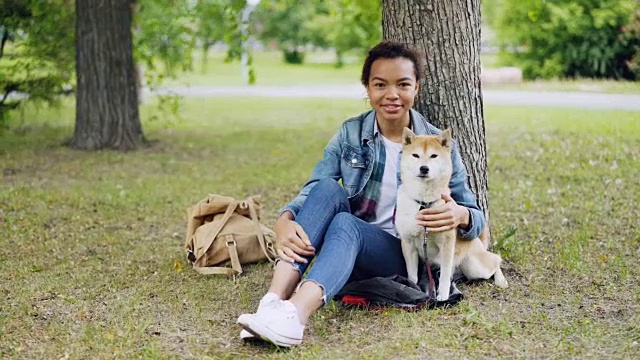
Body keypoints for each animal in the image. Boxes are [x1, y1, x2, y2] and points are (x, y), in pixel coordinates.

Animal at [396, 127, 504, 300]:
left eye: (434, 155)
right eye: (415, 155)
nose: (424, 168)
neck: (424, 203)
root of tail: (478, 243)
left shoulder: (446, 245)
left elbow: (445, 275)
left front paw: (443, 296)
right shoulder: (408, 244)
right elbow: (412, 275)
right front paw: (414, 288)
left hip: (474, 265)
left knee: (496, 260)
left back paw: (500, 279)